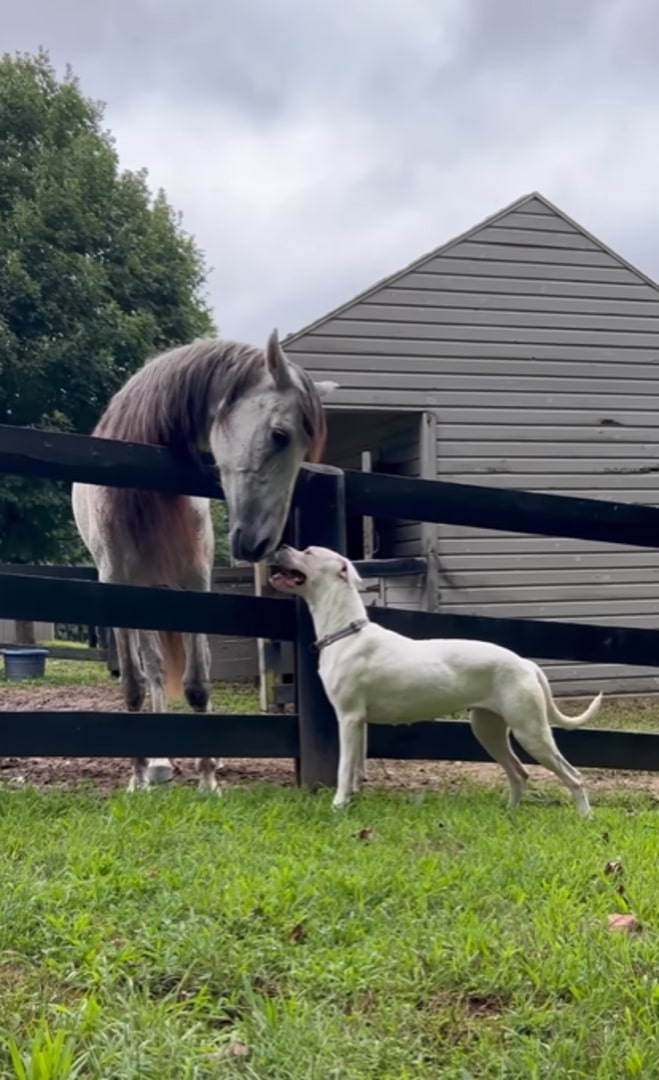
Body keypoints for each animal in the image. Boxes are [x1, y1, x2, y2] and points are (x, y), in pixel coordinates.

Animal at [71, 328, 337, 794]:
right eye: (280, 435)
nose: (261, 542)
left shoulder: (196, 583)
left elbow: (198, 683)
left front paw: (209, 778)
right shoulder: (116, 584)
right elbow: (135, 685)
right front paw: (137, 776)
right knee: (154, 671)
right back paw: (156, 765)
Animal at [266, 544, 600, 812]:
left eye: (308, 552)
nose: (280, 547)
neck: (346, 632)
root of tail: (525, 663)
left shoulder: (348, 718)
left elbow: (343, 768)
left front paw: (337, 806)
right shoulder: (358, 723)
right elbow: (356, 767)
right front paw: (351, 800)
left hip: (530, 731)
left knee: (573, 776)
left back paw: (584, 817)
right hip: (488, 729)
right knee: (519, 772)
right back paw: (511, 812)